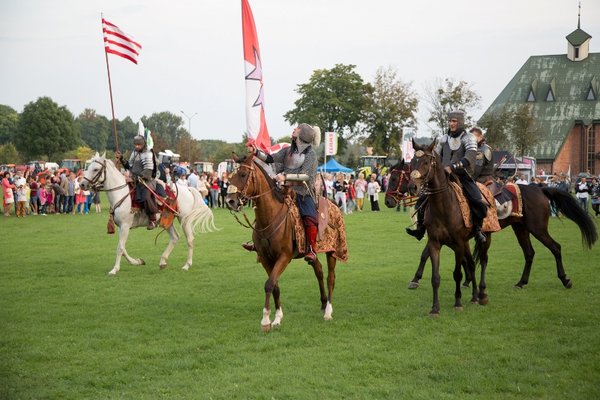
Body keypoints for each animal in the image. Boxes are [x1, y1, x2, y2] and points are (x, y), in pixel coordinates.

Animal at [81, 152, 217, 276]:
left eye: (95, 169)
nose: (82, 184)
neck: (120, 193)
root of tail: (188, 189)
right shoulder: (121, 227)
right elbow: (122, 247)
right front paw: (137, 261)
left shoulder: (125, 226)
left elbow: (120, 248)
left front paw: (114, 269)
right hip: (167, 220)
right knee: (175, 237)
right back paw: (163, 261)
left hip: (184, 219)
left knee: (190, 239)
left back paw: (186, 265)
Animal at [225, 153, 346, 332]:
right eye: (231, 176)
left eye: (243, 174)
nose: (230, 201)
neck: (270, 216)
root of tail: (333, 204)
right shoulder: (266, 258)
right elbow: (275, 286)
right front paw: (277, 318)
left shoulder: (284, 257)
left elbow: (269, 284)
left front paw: (265, 321)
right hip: (313, 252)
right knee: (318, 271)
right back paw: (323, 304)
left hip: (333, 251)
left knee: (331, 277)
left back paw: (328, 312)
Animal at [386, 150, 596, 290]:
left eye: (395, 178)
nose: (388, 201)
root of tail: (540, 188)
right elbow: (442, 255)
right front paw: (466, 280)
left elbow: (427, 255)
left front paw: (416, 278)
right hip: (521, 229)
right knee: (529, 253)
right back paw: (521, 282)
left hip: (538, 228)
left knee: (555, 247)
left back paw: (565, 279)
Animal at [408, 141, 492, 316]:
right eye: (412, 162)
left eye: (426, 162)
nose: (412, 187)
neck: (443, 206)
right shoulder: (435, 243)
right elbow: (435, 277)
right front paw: (435, 308)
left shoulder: (458, 244)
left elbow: (457, 274)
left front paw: (458, 303)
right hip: (464, 243)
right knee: (471, 264)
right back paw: (474, 296)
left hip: (485, 237)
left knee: (482, 260)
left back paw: (482, 294)